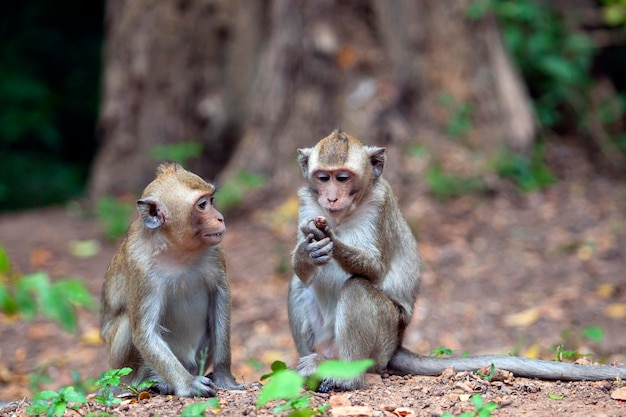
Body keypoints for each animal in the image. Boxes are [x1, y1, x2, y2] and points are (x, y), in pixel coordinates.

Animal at [101, 160, 240, 396]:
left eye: (211, 200)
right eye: (202, 205)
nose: (220, 217)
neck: (177, 249)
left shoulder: (215, 252)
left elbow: (220, 297)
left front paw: (224, 376)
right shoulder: (140, 267)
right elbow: (144, 333)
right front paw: (188, 383)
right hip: (117, 368)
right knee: (129, 325)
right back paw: (156, 382)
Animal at [288, 128, 624, 392]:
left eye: (343, 178)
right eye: (323, 178)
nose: (331, 198)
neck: (344, 215)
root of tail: (396, 345)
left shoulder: (380, 207)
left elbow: (374, 270)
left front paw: (332, 241)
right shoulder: (307, 202)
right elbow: (301, 272)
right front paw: (307, 250)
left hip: (383, 342)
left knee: (357, 289)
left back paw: (348, 377)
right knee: (299, 287)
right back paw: (315, 364)